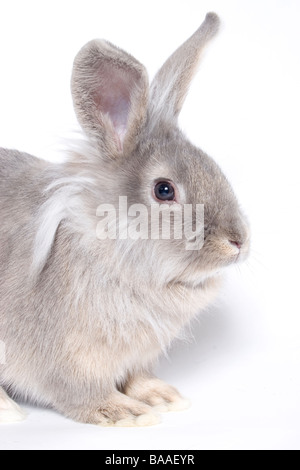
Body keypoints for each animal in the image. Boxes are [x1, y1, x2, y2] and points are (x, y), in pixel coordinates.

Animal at [0, 13, 250, 426]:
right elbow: (81, 394)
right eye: (164, 190)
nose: (239, 242)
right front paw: (126, 414)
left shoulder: (134, 358)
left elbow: (136, 377)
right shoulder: (67, 362)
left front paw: (162, 397)